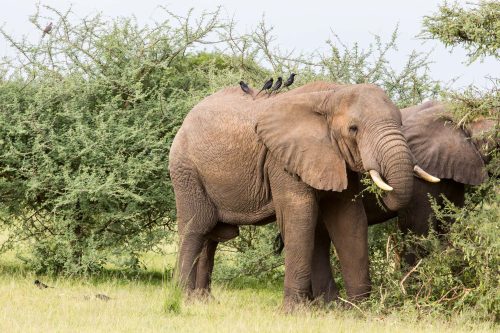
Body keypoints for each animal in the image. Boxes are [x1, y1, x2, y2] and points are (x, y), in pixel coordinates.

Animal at [169, 81, 434, 308]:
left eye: (401, 124)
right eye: (353, 129)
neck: (331, 95)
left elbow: (349, 221)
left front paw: (359, 310)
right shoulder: (282, 160)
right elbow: (300, 218)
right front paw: (295, 312)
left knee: (211, 235)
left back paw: (202, 302)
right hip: (186, 171)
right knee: (197, 227)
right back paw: (183, 299)